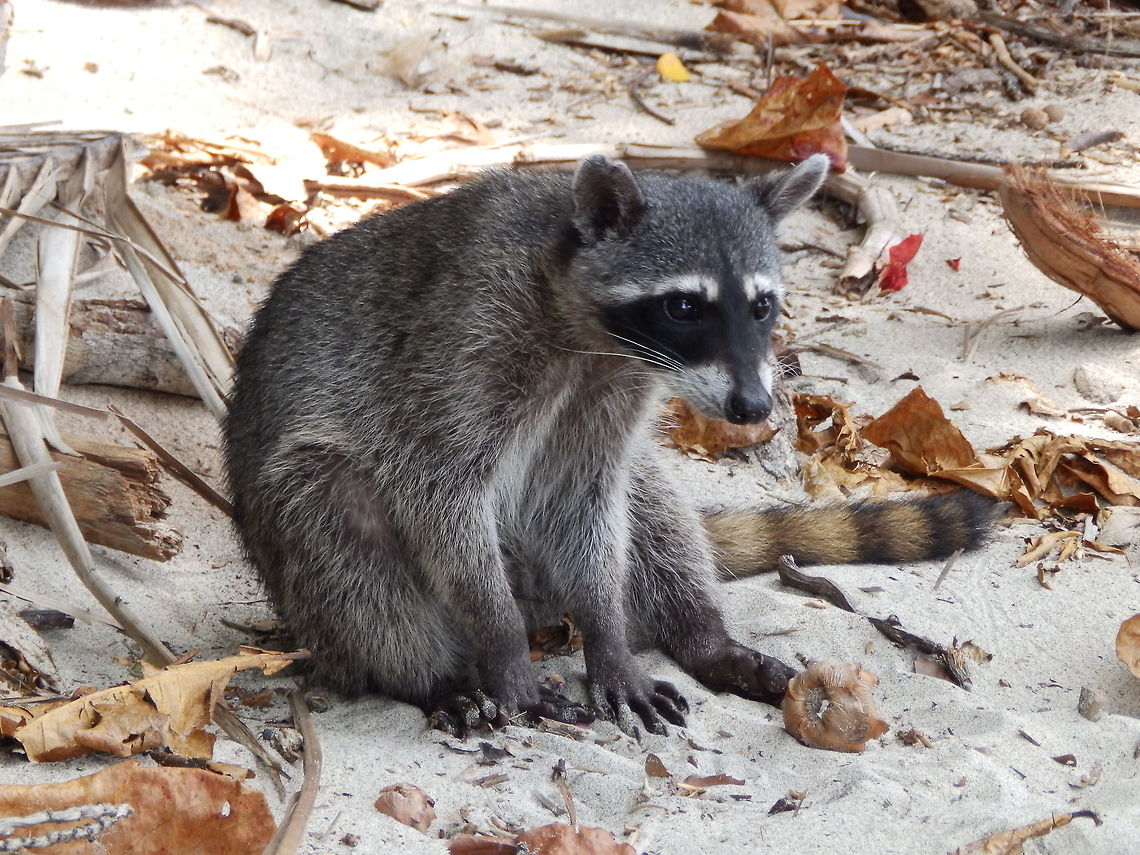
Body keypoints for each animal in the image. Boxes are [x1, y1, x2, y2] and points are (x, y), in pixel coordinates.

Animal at [223, 154, 992, 735]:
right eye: (684, 306)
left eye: (762, 304)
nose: (752, 406)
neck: (593, 335)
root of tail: (538, 602)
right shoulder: (459, 344)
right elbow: (438, 490)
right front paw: (501, 646)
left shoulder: (615, 391)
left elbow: (591, 497)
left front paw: (609, 636)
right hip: (303, 536)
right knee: (335, 524)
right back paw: (429, 674)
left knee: (647, 503)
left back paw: (700, 635)